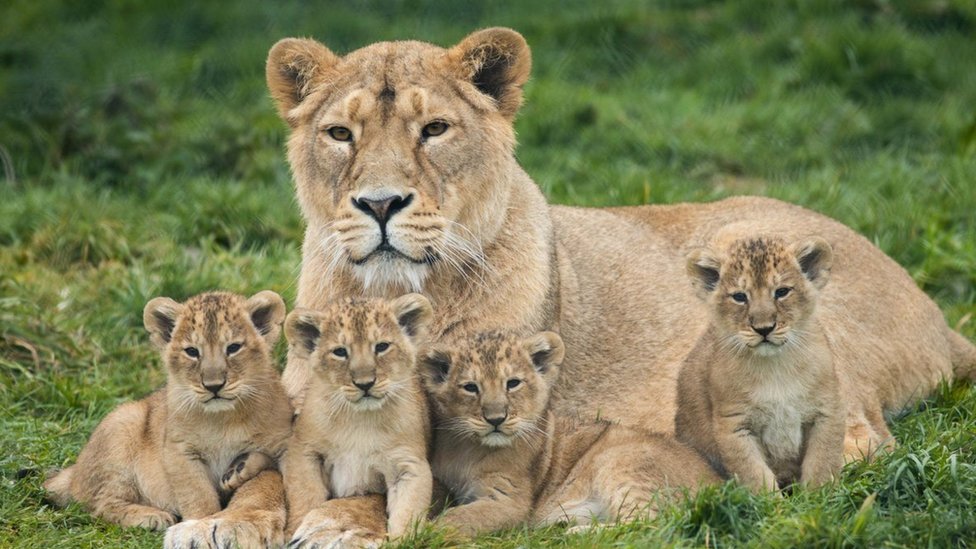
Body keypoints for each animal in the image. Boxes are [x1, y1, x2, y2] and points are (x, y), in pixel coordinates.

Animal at [43, 291, 293, 541]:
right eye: (192, 352)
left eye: (233, 348)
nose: (213, 386)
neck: (224, 419)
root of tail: (75, 473)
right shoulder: (179, 451)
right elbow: (198, 496)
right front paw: (199, 528)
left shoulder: (282, 442)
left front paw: (239, 469)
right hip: (123, 424)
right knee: (101, 503)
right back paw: (150, 517)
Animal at [281, 294, 433, 542]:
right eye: (340, 351)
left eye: (382, 346)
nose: (365, 384)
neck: (360, 419)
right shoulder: (304, 450)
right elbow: (306, 495)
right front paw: (296, 530)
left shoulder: (409, 464)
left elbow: (408, 513)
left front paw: (403, 542)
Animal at [422, 330, 719, 538]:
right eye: (470, 387)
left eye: (513, 383)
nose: (496, 419)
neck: (469, 448)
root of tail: (718, 481)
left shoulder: (509, 502)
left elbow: (457, 518)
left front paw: (422, 533)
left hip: (621, 460)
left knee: (653, 526)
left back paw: (575, 533)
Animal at [676, 236, 846, 492]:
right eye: (739, 296)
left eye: (782, 292)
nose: (764, 328)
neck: (775, 366)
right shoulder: (734, 425)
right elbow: (756, 475)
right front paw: (773, 503)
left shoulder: (826, 411)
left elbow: (822, 464)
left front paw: (818, 496)